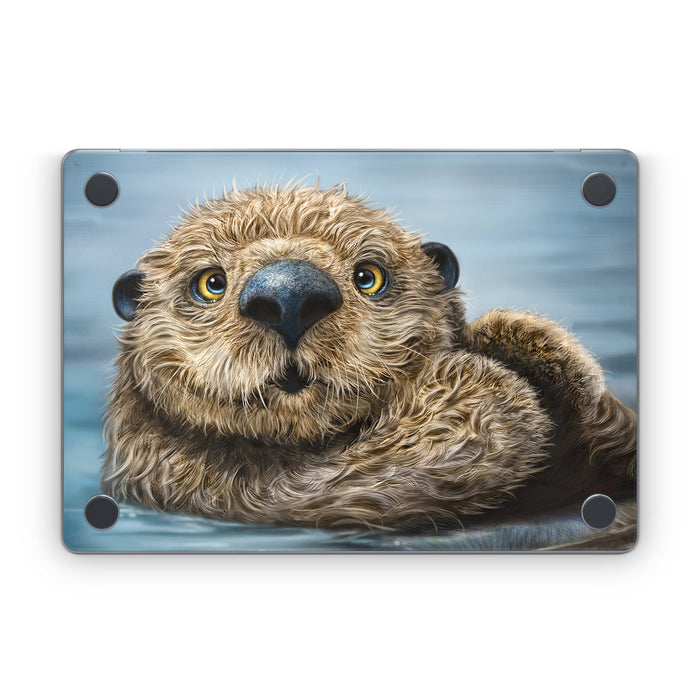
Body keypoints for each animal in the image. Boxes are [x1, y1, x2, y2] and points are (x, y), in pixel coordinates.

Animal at [103, 184, 636, 533]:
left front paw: (517, 336)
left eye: (368, 276)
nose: (290, 295)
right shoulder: (225, 488)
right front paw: (486, 380)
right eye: (210, 282)